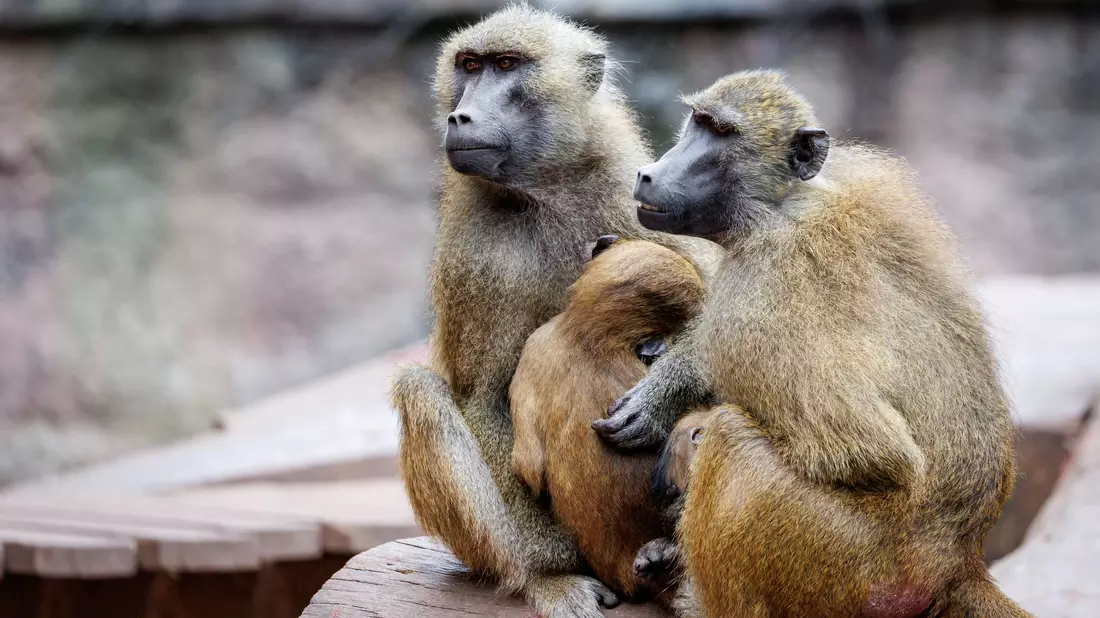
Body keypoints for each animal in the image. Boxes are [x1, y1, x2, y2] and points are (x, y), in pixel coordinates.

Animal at [593, 70, 1030, 617]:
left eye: (721, 132)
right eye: (697, 121)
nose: (648, 174)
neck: (781, 207)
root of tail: (957, 561)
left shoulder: (758, 297)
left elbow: (873, 454)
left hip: (852, 566)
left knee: (730, 438)